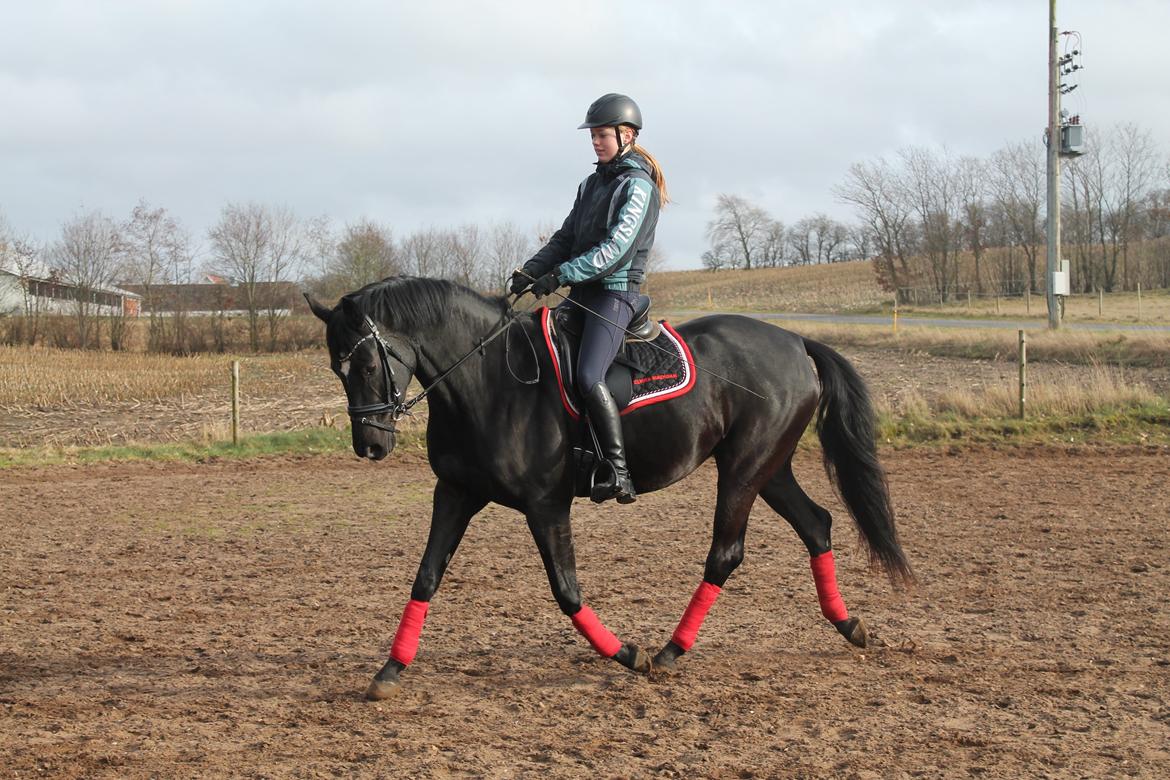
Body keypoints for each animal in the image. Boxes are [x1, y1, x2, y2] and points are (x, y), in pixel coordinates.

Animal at [306, 275, 907, 701]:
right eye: (336, 369)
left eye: (364, 363)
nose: (370, 445)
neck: (488, 381)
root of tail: (795, 340)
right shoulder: (454, 494)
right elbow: (426, 577)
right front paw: (389, 670)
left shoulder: (545, 505)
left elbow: (566, 590)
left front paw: (627, 655)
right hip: (769, 468)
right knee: (816, 525)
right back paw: (849, 626)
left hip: (744, 469)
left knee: (726, 553)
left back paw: (668, 652)